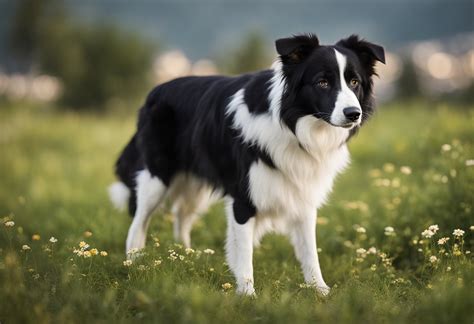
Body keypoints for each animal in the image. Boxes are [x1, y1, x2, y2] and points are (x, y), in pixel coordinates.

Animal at [110, 33, 386, 296]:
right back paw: (135, 265)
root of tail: (154, 92)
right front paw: (247, 295)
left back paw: (186, 257)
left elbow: (310, 250)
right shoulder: (244, 198)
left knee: (182, 216)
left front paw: (320, 290)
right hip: (156, 177)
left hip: (195, 184)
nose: (353, 114)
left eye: (354, 82)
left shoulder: (303, 193)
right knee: (138, 222)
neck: (295, 127)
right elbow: (244, 252)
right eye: (322, 82)